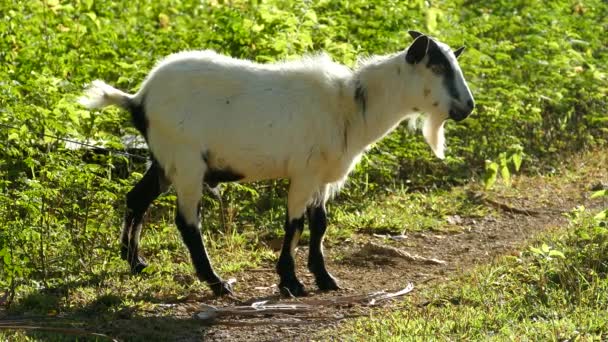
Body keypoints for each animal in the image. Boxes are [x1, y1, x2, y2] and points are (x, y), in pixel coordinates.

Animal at [78, 30, 476, 296]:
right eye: (437, 67)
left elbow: (319, 225)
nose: (468, 107)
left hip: (163, 160)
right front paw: (291, 282)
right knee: (187, 223)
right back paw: (217, 283)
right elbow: (295, 225)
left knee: (136, 198)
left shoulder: (322, 178)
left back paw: (136, 263)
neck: (351, 105)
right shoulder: (304, 173)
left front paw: (325, 279)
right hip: (186, 161)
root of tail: (138, 98)